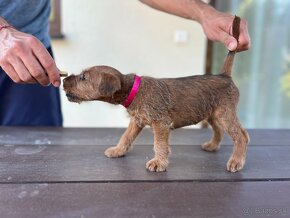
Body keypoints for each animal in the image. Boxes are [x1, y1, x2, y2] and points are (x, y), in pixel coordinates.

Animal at [63, 16, 249, 173]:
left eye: (83, 77)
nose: (64, 80)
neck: (133, 89)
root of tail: (225, 76)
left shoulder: (160, 123)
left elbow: (159, 144)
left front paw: (158, 162)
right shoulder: (136, 121)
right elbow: (126, 137)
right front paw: (118, 150)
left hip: (223, 114)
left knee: (239, 136)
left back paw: (236, 160)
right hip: (212, 114)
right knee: (228, 131)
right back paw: (213, 146)